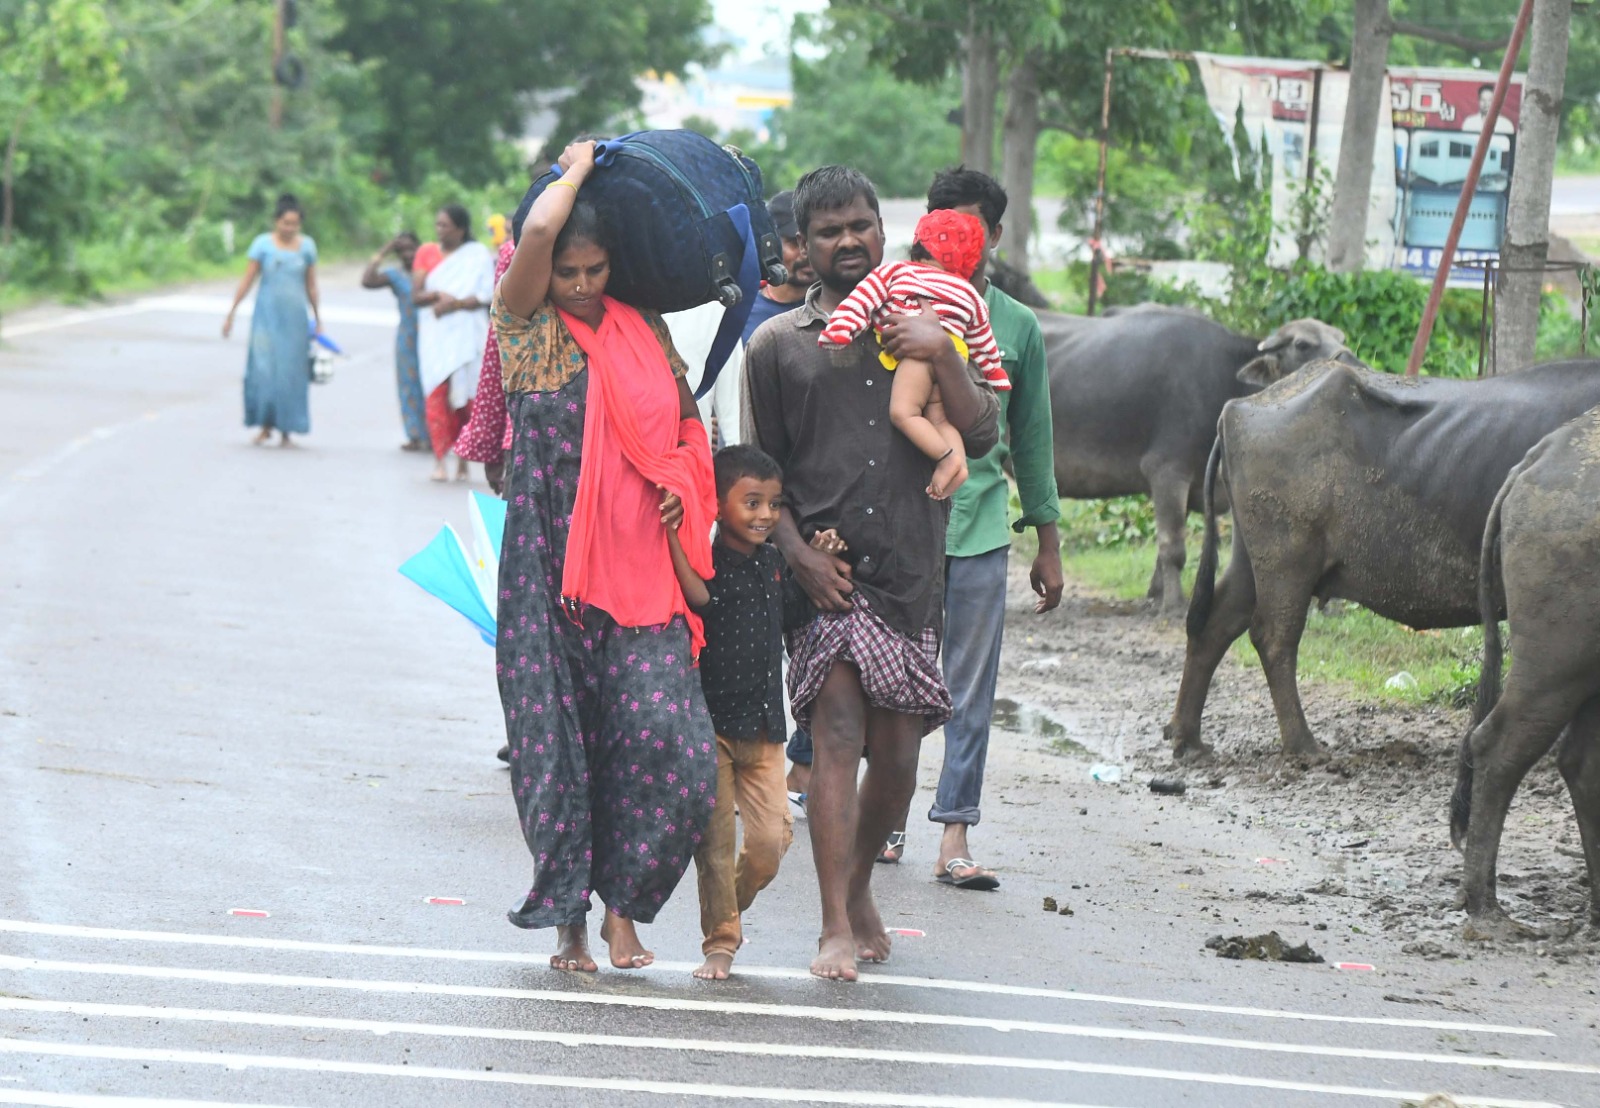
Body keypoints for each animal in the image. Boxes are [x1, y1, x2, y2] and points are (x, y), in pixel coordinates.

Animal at [1043, 309, 1356, 614]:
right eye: (1303, 345)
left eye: (1341, 338)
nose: (1351, 361)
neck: (1222, 377)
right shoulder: (1167, 471)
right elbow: (1172, 547)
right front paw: (1172, 604)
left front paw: (1156, 594)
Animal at [1171, 358, 1600, 765]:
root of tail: (1240, 406)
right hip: (1287, 560)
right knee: (1273, 637)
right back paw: (1302, 744)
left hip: (1250, 558)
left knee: (1215, 624)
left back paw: (1188, 738)